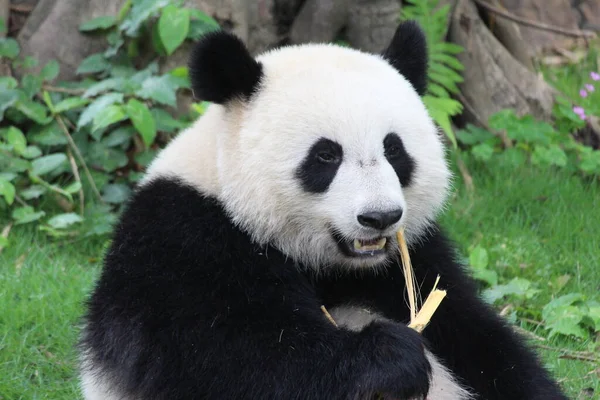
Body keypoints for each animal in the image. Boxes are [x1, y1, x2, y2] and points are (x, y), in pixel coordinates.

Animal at [78, 21, 568, 400]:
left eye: (394, 149)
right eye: (326, 156)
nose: (379, 217)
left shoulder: (416, 257)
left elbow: (479, 338)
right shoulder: (181, 244)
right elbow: (236, 359)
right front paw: (390, 355)